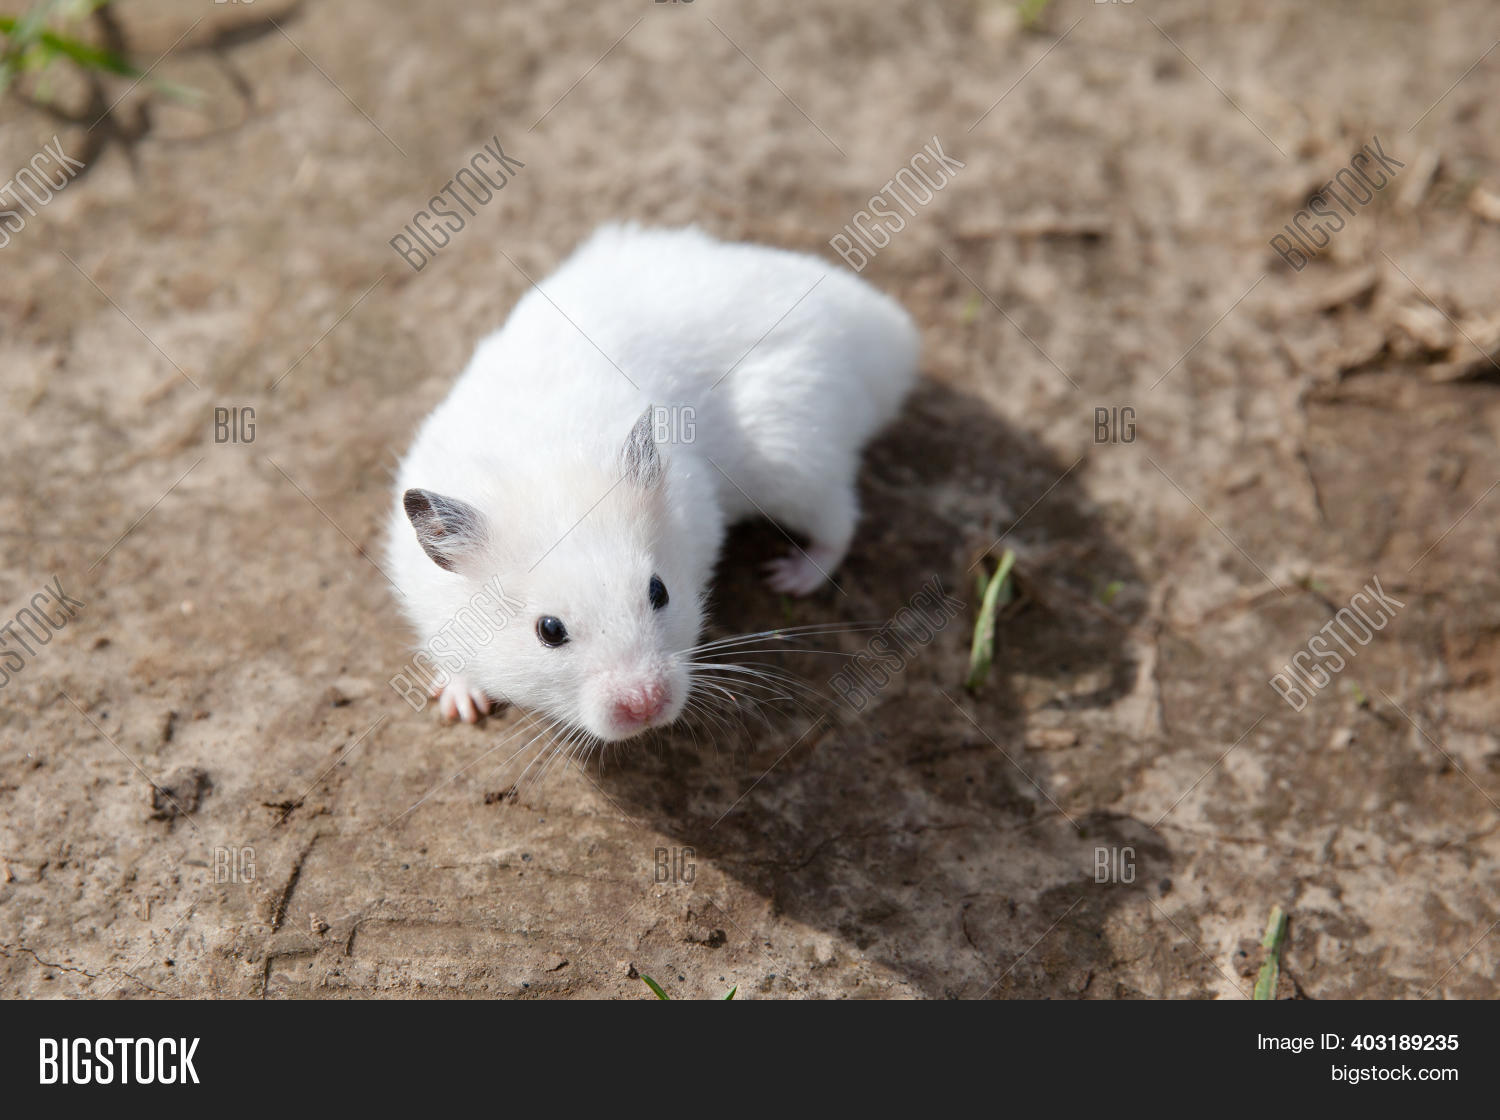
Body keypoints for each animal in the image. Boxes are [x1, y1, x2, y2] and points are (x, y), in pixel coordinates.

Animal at [387, 223, 919, 742]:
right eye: (549, 630)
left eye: (658, 591)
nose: (646, 705)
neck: (540, 465)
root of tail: (883, 329)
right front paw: (461, 708)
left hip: (793, 458)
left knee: (839, 522)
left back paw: (790, 576)